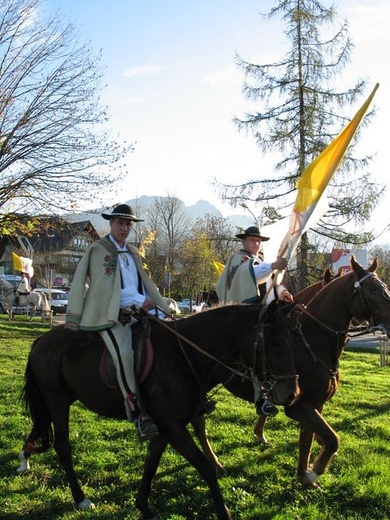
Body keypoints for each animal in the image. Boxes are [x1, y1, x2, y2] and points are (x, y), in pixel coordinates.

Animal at [16, 298, 298, 516]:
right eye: (276, 343)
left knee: (39, 427)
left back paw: (24, 459)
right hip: (57, 402)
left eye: (290, 339)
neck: (184, 355)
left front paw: (142, 505)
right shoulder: (173, 428)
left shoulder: (165, 428)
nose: (291, 393)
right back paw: (80, 498)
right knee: (62, 447)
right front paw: (223, 512)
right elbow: (205, 468)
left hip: (57, 401)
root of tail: (42, 339)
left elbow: (151, 464)